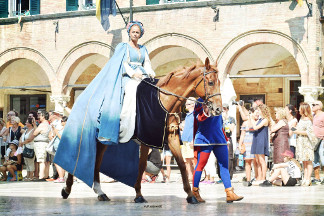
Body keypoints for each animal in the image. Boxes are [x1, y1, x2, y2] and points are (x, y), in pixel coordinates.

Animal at [60, 57, 223, 204]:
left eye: (219, 82)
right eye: (210, 82)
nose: (218, 109)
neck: (163, 99)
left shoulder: (171, 135)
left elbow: (181, 164)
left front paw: (190, 196)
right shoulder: (146, 137)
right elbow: (142, 164)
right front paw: (138, 194)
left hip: (103, 139)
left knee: (97, 159)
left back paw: (100, 192)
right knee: (79, 156)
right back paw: (67, 189)